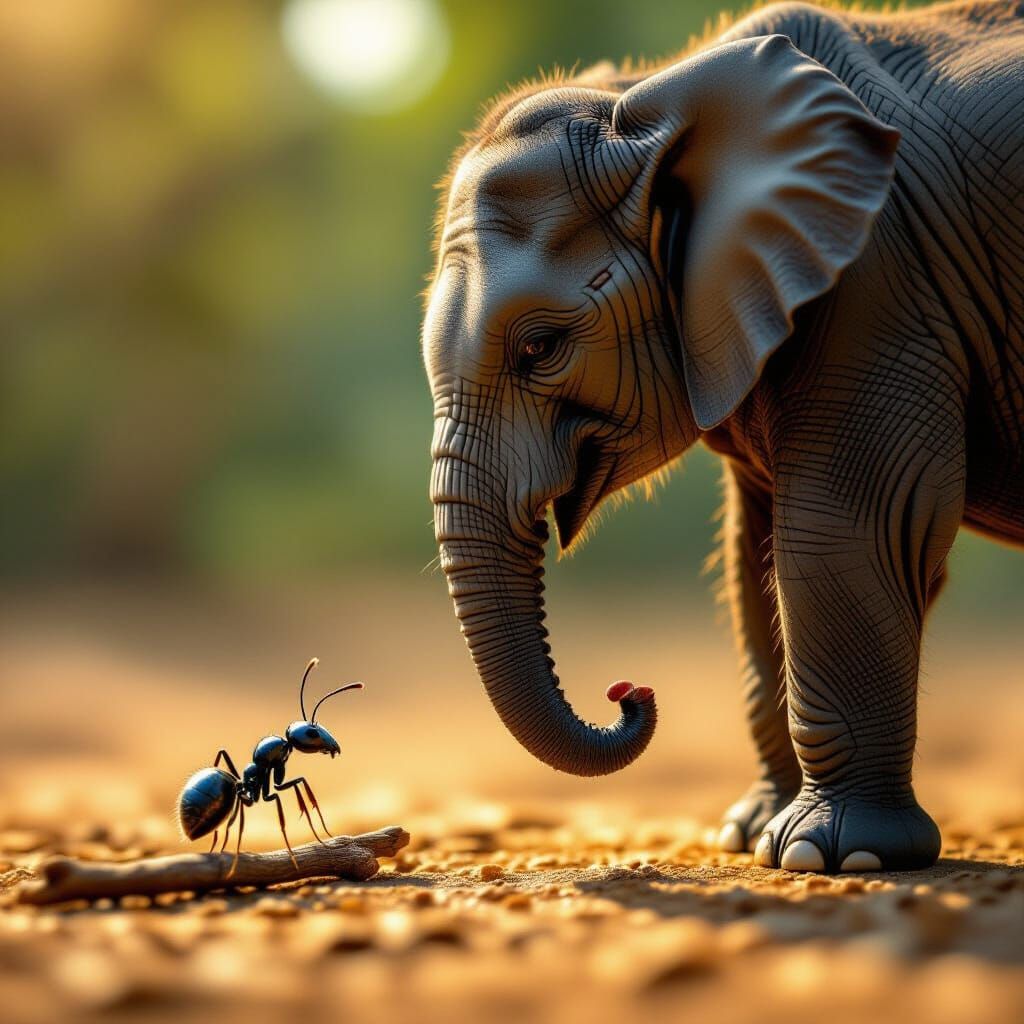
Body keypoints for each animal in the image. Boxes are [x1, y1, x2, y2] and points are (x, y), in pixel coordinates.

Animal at [422, 0, 1024, 873]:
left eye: (540, 347)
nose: (629, 691)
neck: (644, 99)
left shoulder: (878, 281)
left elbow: (840, 532)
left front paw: (836, 856)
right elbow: (756, 561)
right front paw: (753, 837)